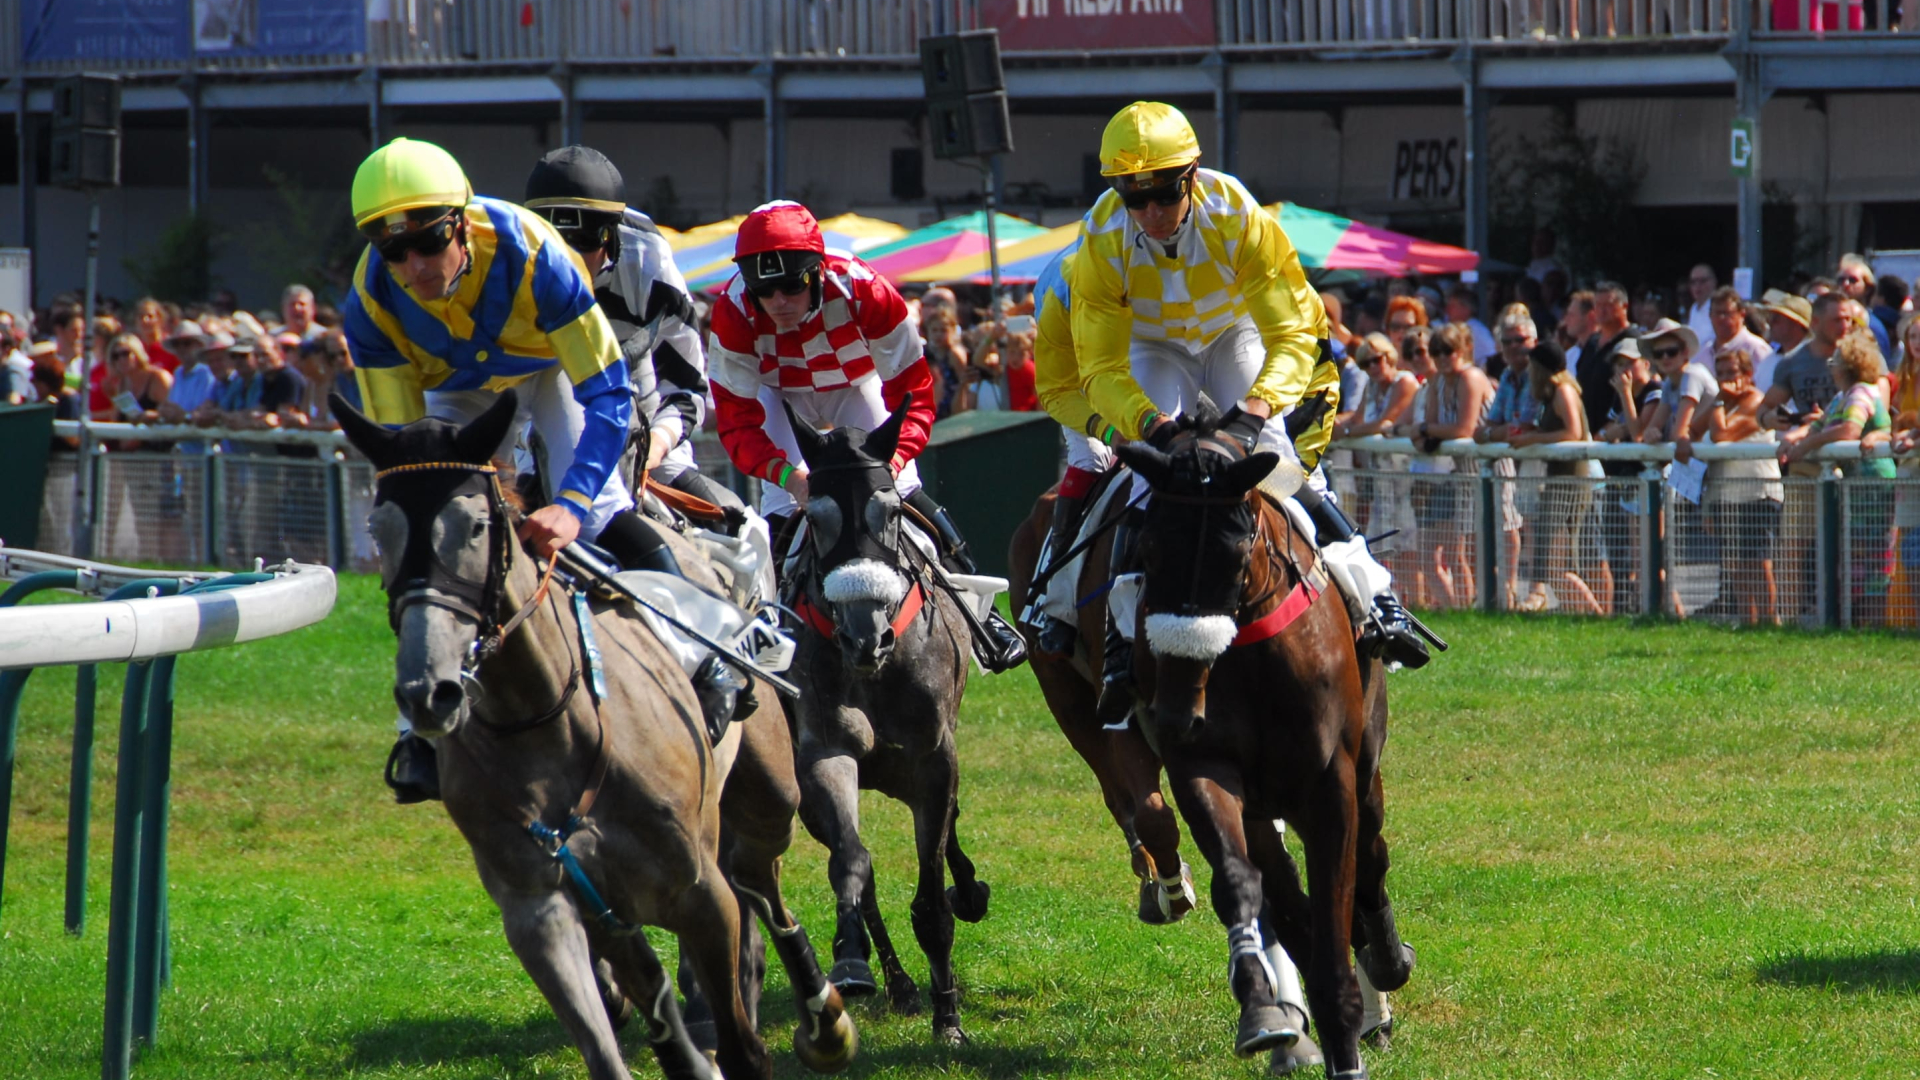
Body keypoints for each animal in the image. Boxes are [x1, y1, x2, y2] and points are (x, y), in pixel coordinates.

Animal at [779, 405, 990, 1045]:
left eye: (891, 511)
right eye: (816, 518)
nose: (864, 637)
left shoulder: (934, 759)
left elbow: (933, 895)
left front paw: (949, 1019)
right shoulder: (824, 752)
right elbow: (852, 862)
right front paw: (851, 957)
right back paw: (895, 982)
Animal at [1105, 413, 1420, 1076]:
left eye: (1232, 553)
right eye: (1147, 548)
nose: (1174, 712)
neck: (1251, 655)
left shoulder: (1330, 785)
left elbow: (1336, 900)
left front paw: (1346, 1041)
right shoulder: (1206, 767)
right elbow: (1240, 883)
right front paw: (1262, 1012)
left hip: (1366, 760)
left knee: (1372, 857)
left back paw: (1384, 958)